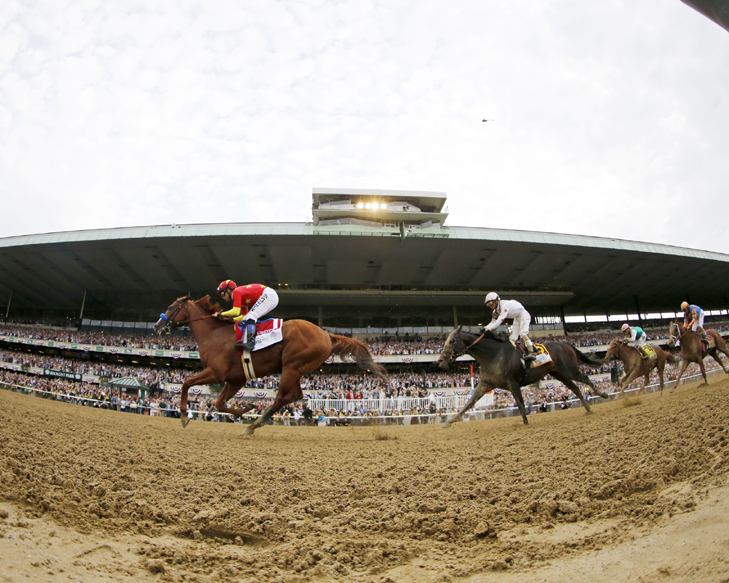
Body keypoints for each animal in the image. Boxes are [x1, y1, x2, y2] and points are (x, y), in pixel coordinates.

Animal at [152, 296, 386, 434]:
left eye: (171, 307)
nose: (157, 326)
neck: (213, 335)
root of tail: (325, 333)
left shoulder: (216, 373)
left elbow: (186, 383)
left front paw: (184, 415)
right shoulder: (235, 379)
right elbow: (218, 404)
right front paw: (247, 407)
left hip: (291, 366)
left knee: (282, 397)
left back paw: (254, 425)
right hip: (296, 369)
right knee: (295, 395)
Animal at [438, 328, 608, 428]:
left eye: (452, 341)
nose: (440, 361)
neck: (493, 355)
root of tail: (566, 344)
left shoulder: (512, 383)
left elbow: (520, 403)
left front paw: (526, 422)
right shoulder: (486, 384)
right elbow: (469, 403)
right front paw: (449, 422)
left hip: (570, 370)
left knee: (585, 378)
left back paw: (603, 394)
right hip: (560, 374)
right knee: (576, 388)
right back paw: (588, 409)